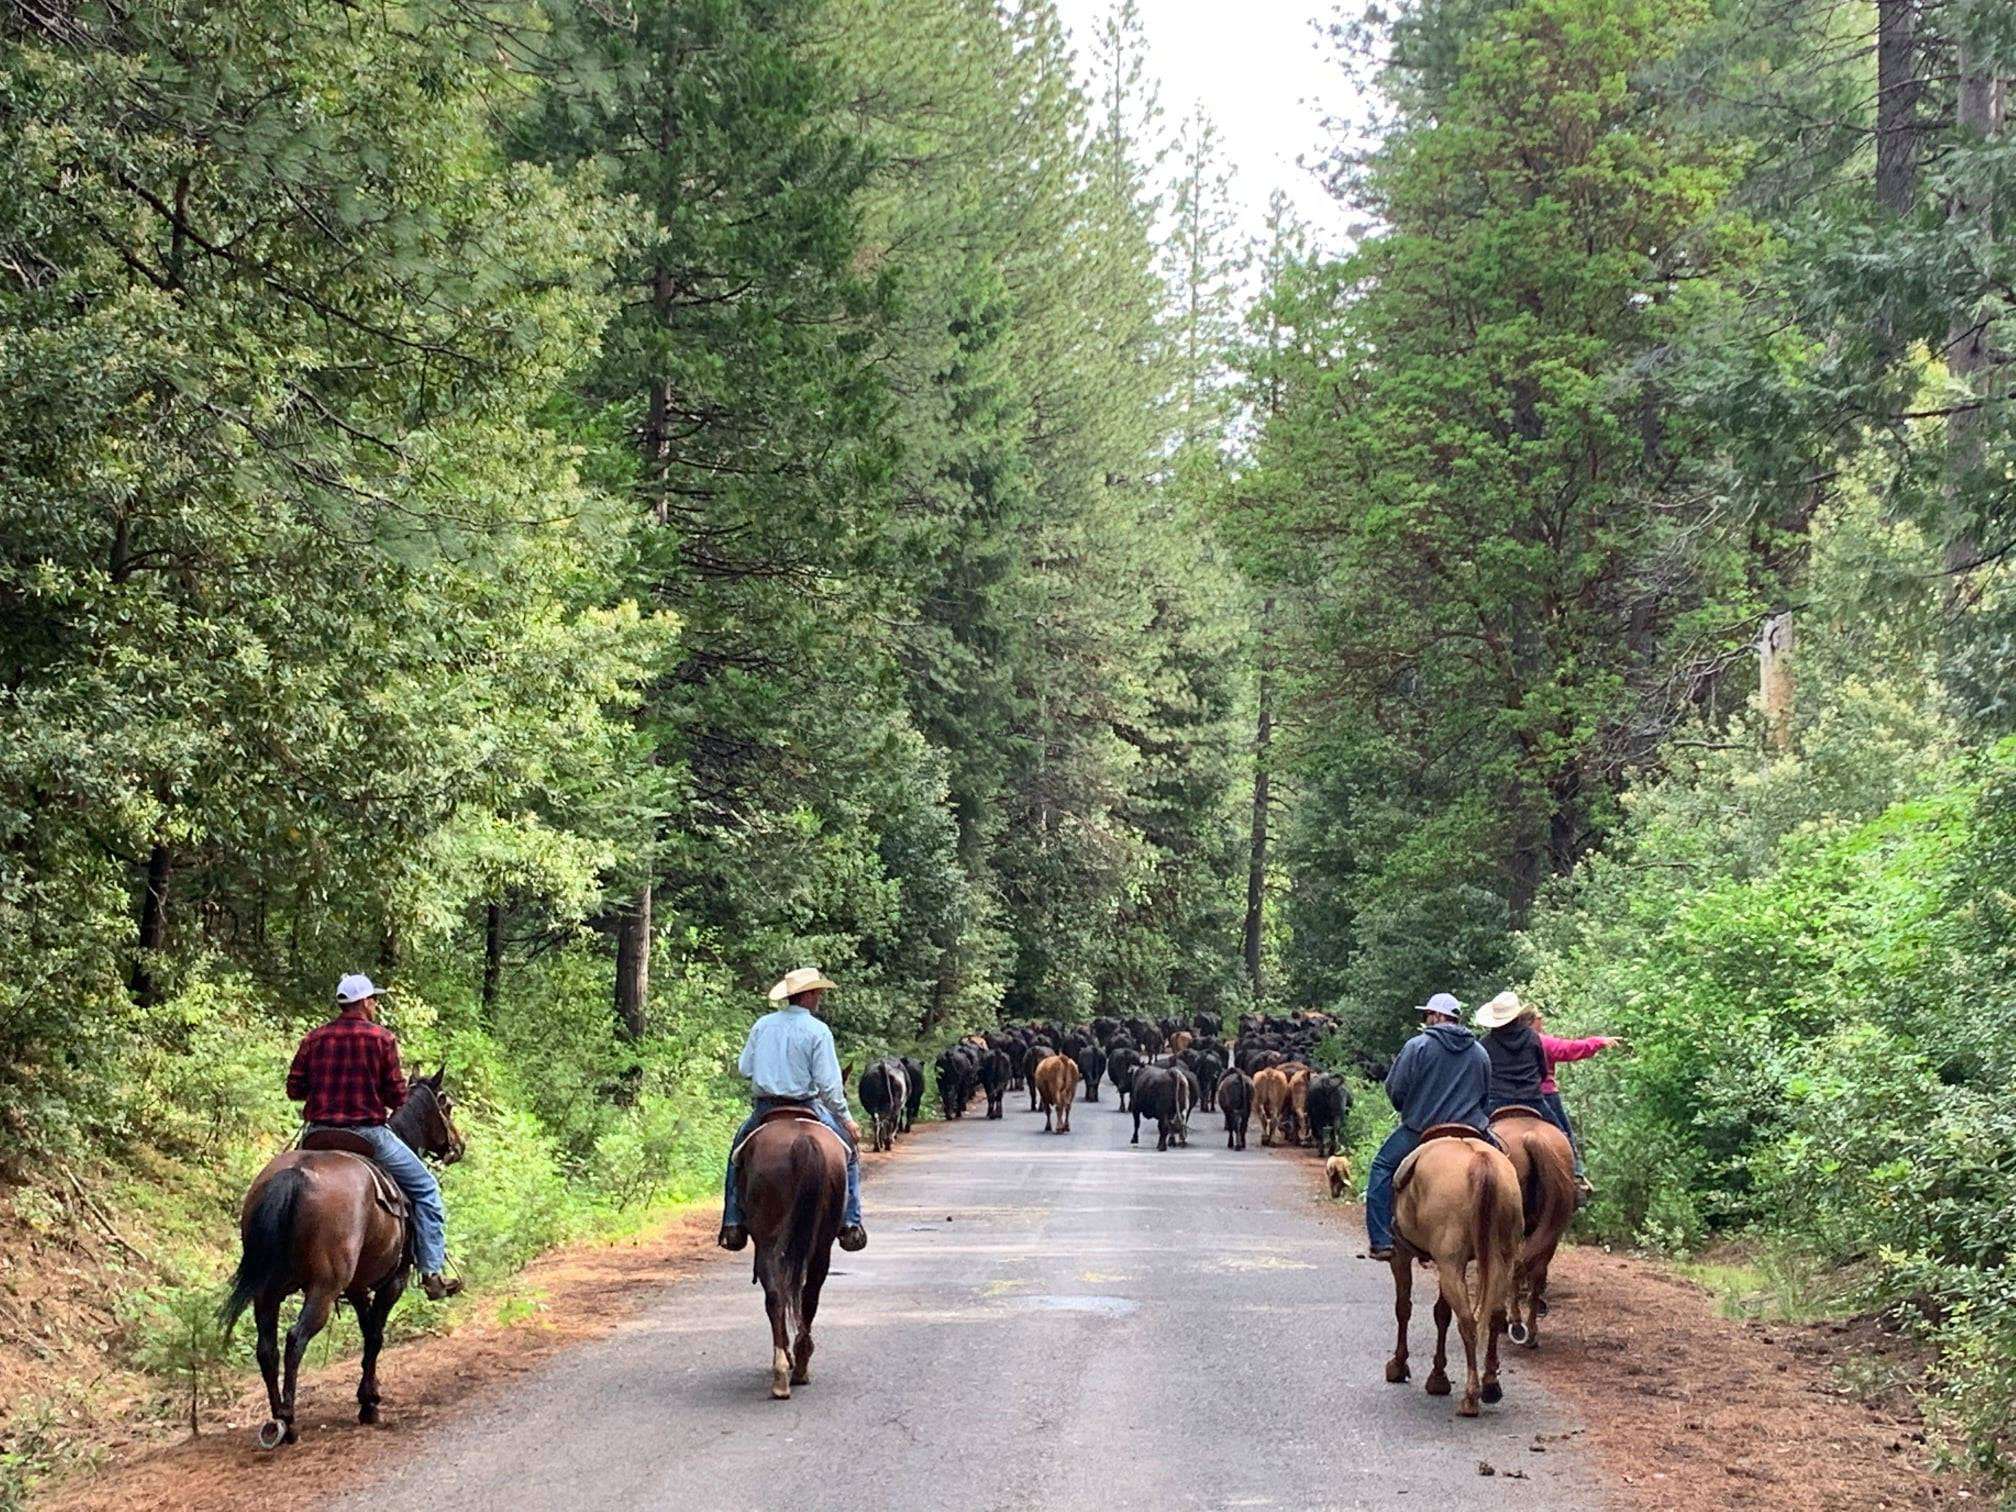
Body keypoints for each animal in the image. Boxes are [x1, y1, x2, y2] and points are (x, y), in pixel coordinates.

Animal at [222, 1072, 461, 1451]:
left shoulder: (359, 1286)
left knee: (266, 1349)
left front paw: (368, 1396)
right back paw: (289, 1423)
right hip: (323, 1288)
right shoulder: (392, 1281)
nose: (458, 1146)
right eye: (446, 1105)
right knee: (295, 1340)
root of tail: (296, 1174)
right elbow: (375, 1336)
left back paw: (276, 1419)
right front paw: (369, 1404)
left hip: (267, 1290)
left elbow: (366, 1330)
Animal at [737, 1104, 846, 1403]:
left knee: (779, 1296)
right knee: (806, 1295)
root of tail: (803, 1141)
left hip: (768, 1241)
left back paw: (785, 1369)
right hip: (821, 1243)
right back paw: (793, 1368)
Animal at [1387, 1128, 1524, 1419]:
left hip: (1451, 1265)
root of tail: (1480, 1160)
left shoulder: (1400, 1254)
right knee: (1495, 1315)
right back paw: (1491, 1385)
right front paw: (1438, 1375)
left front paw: (1399, 1365)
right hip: (1500, 1260)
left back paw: (1471, 1398)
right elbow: (1441, 1313)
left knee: (1468, 1323)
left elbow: (1403, 1307)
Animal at [1483, 1104, 1572, 1346]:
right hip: (1553, 1227)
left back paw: (1514, 1322)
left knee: (1514, 1267)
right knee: (1536, 1273)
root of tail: (1531, 1138)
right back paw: (1531, 1330)